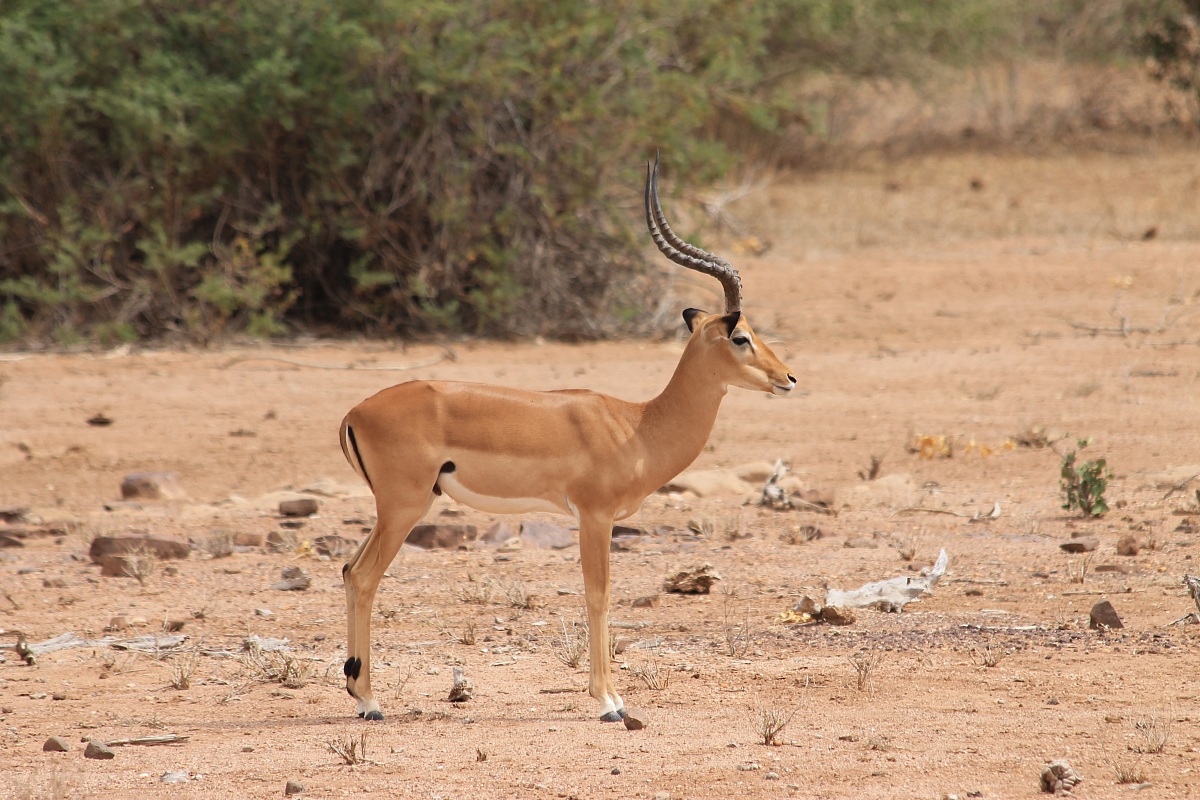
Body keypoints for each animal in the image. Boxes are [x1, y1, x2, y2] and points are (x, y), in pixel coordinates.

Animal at [339, 154, 796, 722]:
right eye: (741, 337)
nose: (788, 378)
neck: (637, 425)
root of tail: (355, 412)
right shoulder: (595, 516)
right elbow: (597, 595)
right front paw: (610, 702)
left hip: (398, 508)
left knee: (347, 569)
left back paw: (357, 689)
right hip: (403, 508)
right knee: (364, 576)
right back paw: (370, 702)